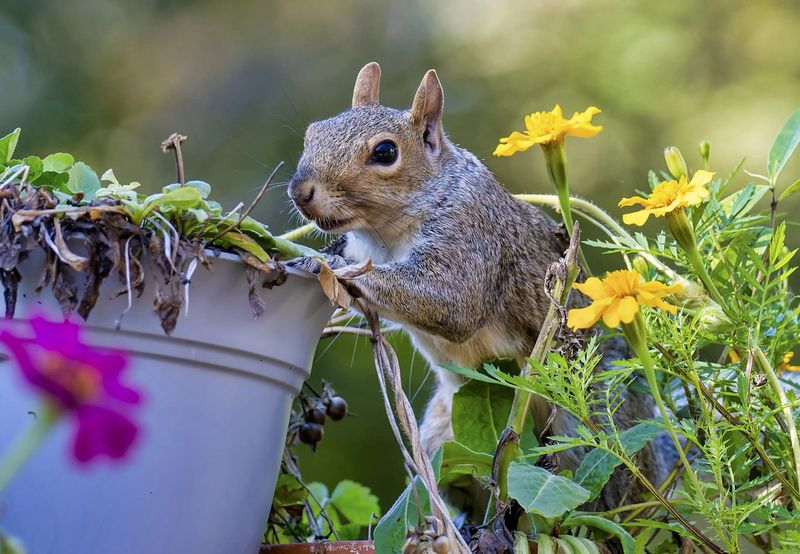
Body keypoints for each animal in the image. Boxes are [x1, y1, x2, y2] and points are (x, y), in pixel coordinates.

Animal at [288, 63, 668, 508]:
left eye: (385, 153)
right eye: (313, 133)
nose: (300, 192)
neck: (383, 235)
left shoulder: (472, 236)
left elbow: (450, 304)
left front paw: (325, 264)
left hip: (592, 425)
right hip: (444, 437)